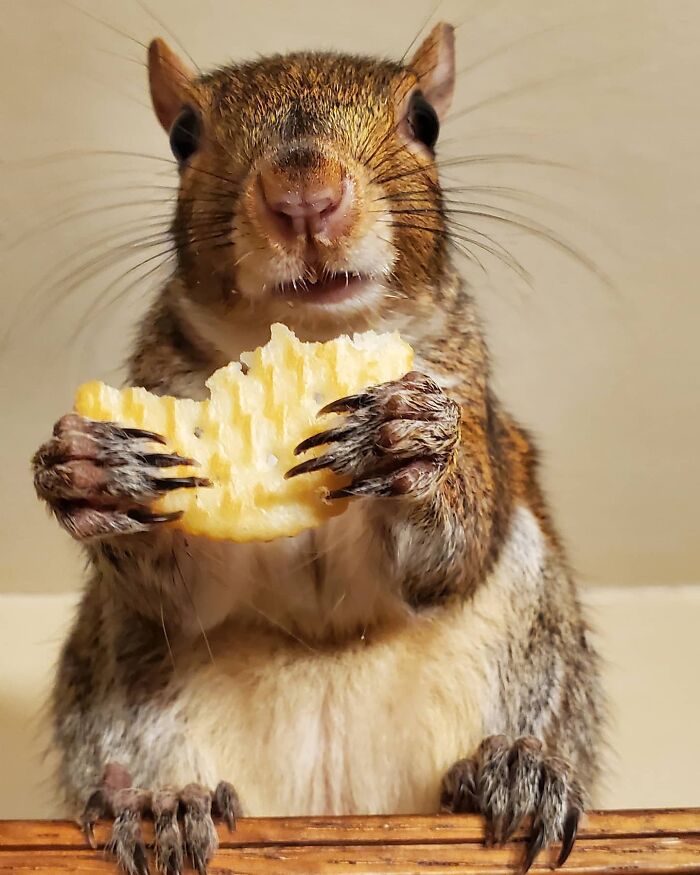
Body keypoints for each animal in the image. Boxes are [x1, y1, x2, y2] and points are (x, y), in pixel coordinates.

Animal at [31, 23, 604, 875]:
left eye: (426, 119)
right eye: (183, 135)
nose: (304, 198)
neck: (310, 340)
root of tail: (338, 811)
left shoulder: (472, 398)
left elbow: (453, 548)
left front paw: (406, 442)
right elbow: (186, 589)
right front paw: (101, 475)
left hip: (535, 626)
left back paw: (513, 768)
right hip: (122, 659)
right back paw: (157, 795)